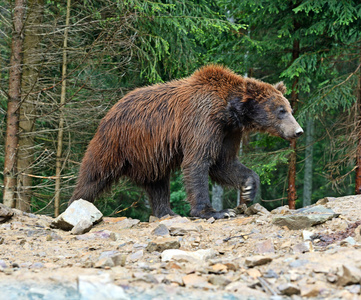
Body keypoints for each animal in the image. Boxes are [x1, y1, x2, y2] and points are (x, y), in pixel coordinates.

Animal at [69, 65, 302, 218]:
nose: (298, 131)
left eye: (289, 109)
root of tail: (111, 110)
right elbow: (198, 162)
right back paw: (75, 204)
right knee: (94, 175)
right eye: (281, 110)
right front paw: (214, 211)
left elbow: (224, 163)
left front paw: (248, 188)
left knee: (157, 183)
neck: (228, 110)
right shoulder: (202, 121)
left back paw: (167, 212)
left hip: (150, 155)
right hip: (116, 142)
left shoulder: (228, 132)